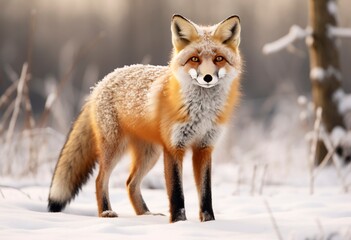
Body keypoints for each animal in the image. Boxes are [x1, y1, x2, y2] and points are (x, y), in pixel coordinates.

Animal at [48, 14, 243, 222]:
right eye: (195, 59)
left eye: (219, 58)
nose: (207, 77)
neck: (201, 111)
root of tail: (100, 83)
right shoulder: (174, 147)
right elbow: (177, 193)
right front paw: (178, 223)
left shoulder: (204, 147)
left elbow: (206, 195)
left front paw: (209, 223)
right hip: (115, 147)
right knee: (101, 179)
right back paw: (106, 212)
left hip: (150, 153)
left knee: (130, 183)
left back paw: (145, 215)